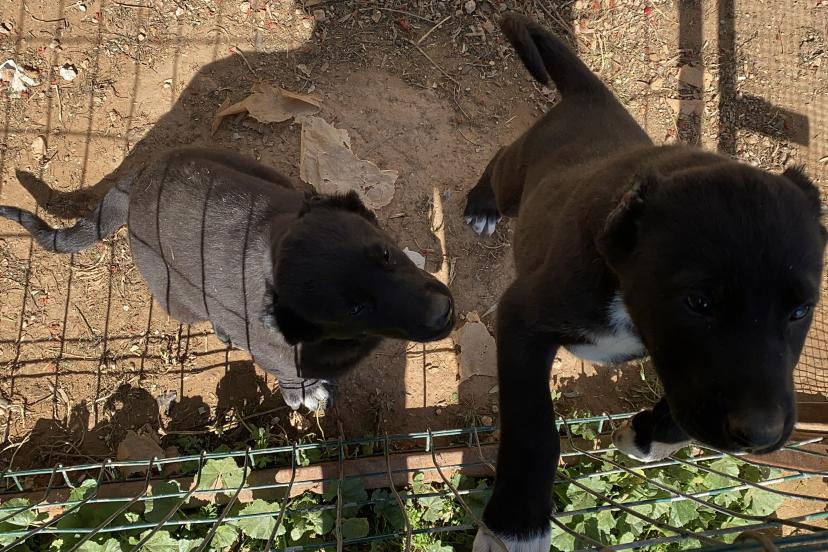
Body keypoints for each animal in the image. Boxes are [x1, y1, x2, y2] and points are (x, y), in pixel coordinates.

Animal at [0, 147, 455, 411]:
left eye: (385, 253)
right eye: (355, 308)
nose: (443, 313)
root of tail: (136, 184)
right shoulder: (278, 354)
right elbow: (292, 376)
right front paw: (306, 393)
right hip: (177, 296)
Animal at [463, 13, 826, 551]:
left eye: (801, 311)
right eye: (698, 302)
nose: (762, 437)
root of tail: (593, 95)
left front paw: (648, 436)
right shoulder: (522, 317)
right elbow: (534, 427)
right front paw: (516, 525)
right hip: (517, 177)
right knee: (501, 160)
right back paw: (481, 205)